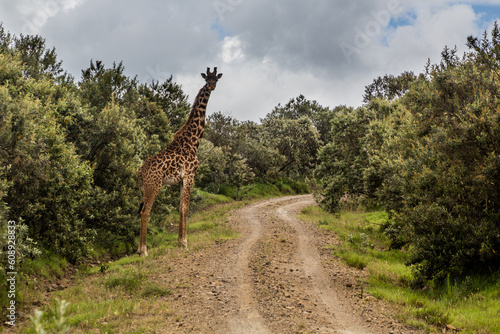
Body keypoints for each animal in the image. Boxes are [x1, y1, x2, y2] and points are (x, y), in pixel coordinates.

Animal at [137, 68, 223, 256]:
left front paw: (179, 242)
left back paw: (140, 249)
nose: (212, 86)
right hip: (154, 185)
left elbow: (180, 208)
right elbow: (186, 208)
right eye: (207, 79)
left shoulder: (182, 180)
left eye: (216, 79)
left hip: (146, 187)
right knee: (145, 212)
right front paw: (184, 243)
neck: (194, 141)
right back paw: (143, 251)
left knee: (141, 211)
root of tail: (139, 172)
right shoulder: (190, 176)